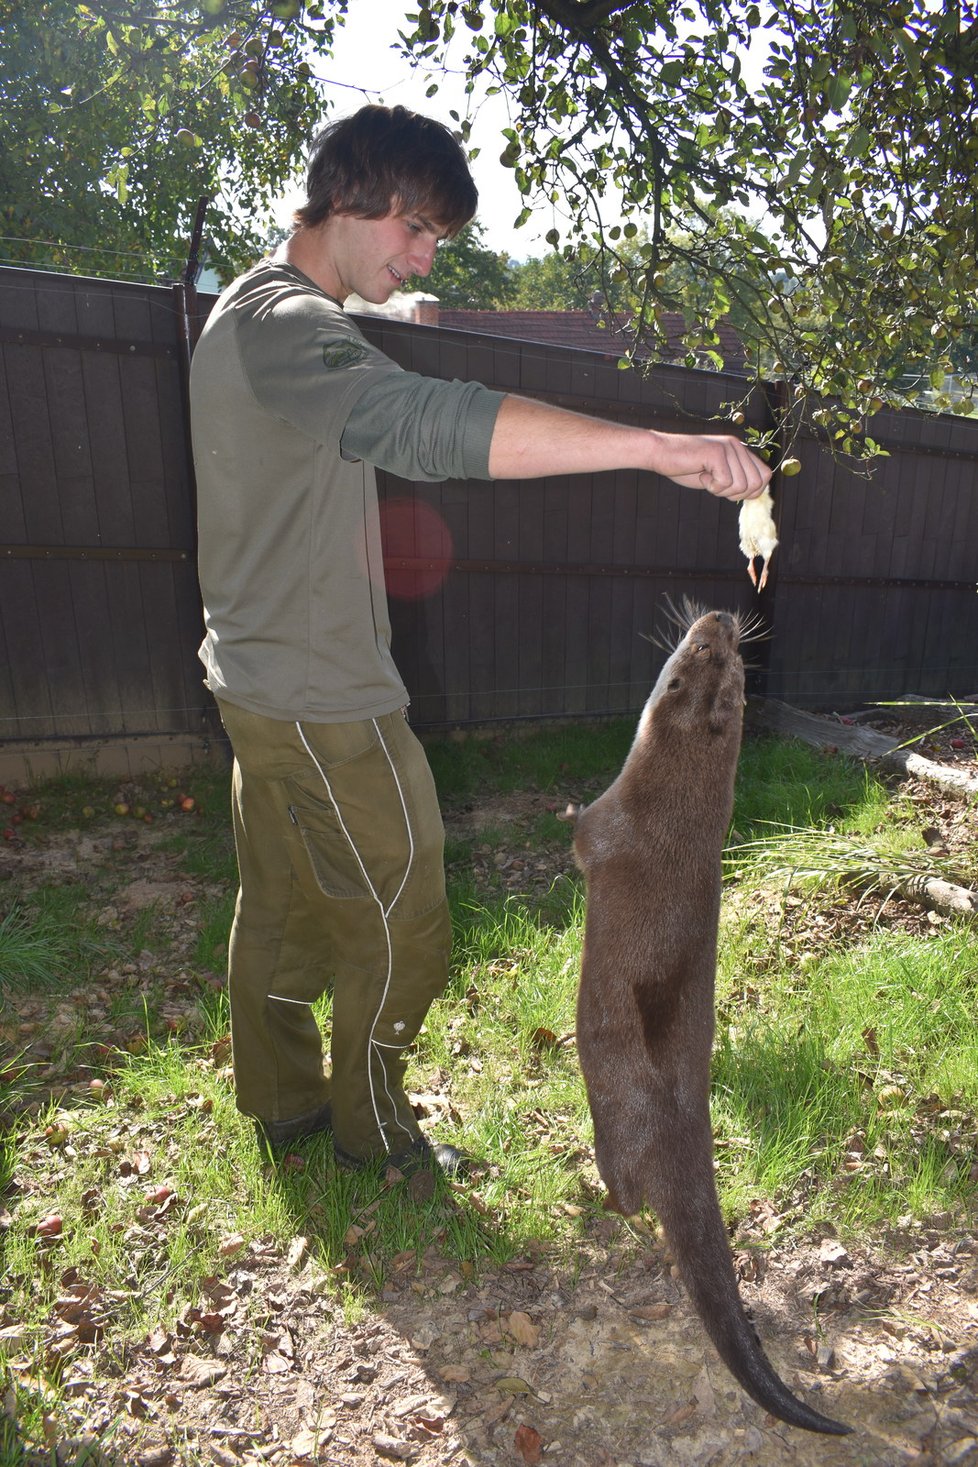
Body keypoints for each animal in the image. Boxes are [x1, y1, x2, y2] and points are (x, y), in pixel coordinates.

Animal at [568, 601, 850, 1437]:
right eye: (727, 652)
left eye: (697, 651)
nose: (722, 614)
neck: (674, 812)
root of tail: (683, 1120)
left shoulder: (607, 823)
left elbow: (579, 838)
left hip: (614, 1121)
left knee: (628, 1192)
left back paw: (593, 1196)